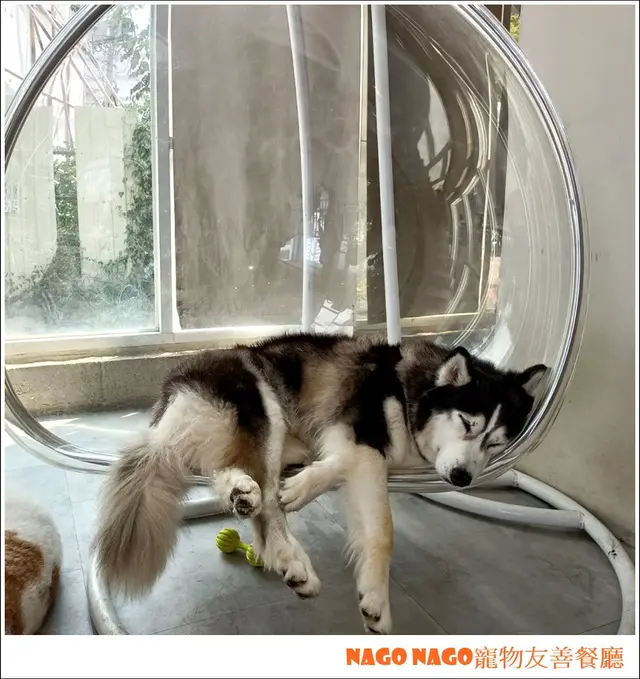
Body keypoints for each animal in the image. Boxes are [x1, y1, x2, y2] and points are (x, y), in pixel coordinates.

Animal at [94, 332, 548, 634]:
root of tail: (171, 394)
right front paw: (377, 599)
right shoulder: (363, 435)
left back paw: (243, 494)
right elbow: (381, 527)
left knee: (232, 477)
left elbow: (347, 481)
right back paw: (290, 557)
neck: (409, 391)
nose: (462, 478)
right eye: (468, 423)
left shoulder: (362, 450)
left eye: (496, 442)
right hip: (266, 403)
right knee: (268, 505)